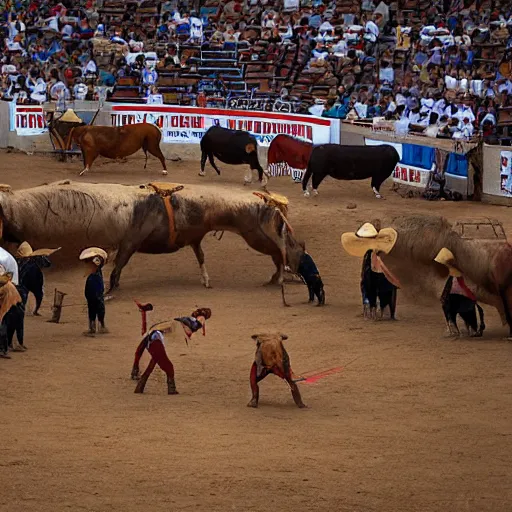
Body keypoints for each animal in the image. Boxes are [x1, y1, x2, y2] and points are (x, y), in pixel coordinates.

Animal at [0, 181, 304, 292]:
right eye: (282, 229)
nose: (296, 263)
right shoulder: (129, 243)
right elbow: (117, 267)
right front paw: (110, 291)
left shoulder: (194, 239)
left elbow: (201, 257)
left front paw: (206, 281)